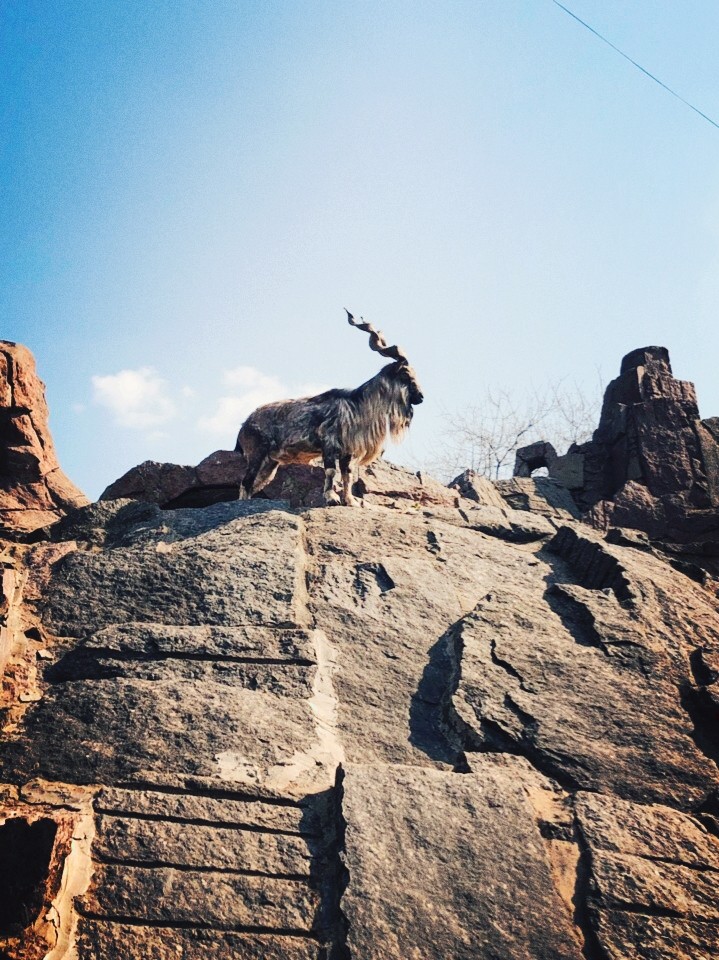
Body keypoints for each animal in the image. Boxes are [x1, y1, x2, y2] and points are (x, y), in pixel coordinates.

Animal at [235, 310, 424, 505]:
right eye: (405, 373)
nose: (420, 397)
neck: (357, 407)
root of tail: (243, 427)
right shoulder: (329, 445)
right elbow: (331, 471)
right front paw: (331, 498)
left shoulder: (347, 452)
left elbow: (347, 475)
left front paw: (350, 501)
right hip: (256, 453)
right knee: (245, 482)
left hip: (270, 463)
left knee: (254, 484)